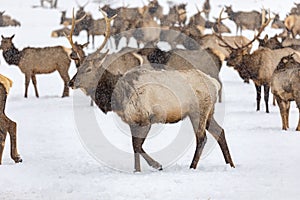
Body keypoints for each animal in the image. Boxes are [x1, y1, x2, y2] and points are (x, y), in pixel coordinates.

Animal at [69, 9, 236, 172]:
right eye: (78, 67)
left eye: (88, 69)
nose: (71, 83)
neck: (117, 97)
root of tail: (214, 83)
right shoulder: (132, 121)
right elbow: (135, 146)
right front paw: (139, 169)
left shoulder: (145, 118)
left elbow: (137, 146)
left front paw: (156, 165)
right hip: (209, 111)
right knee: (220, 132)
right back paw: (230, 164)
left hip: (198, 111)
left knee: (202, 138)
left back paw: (192, 167)